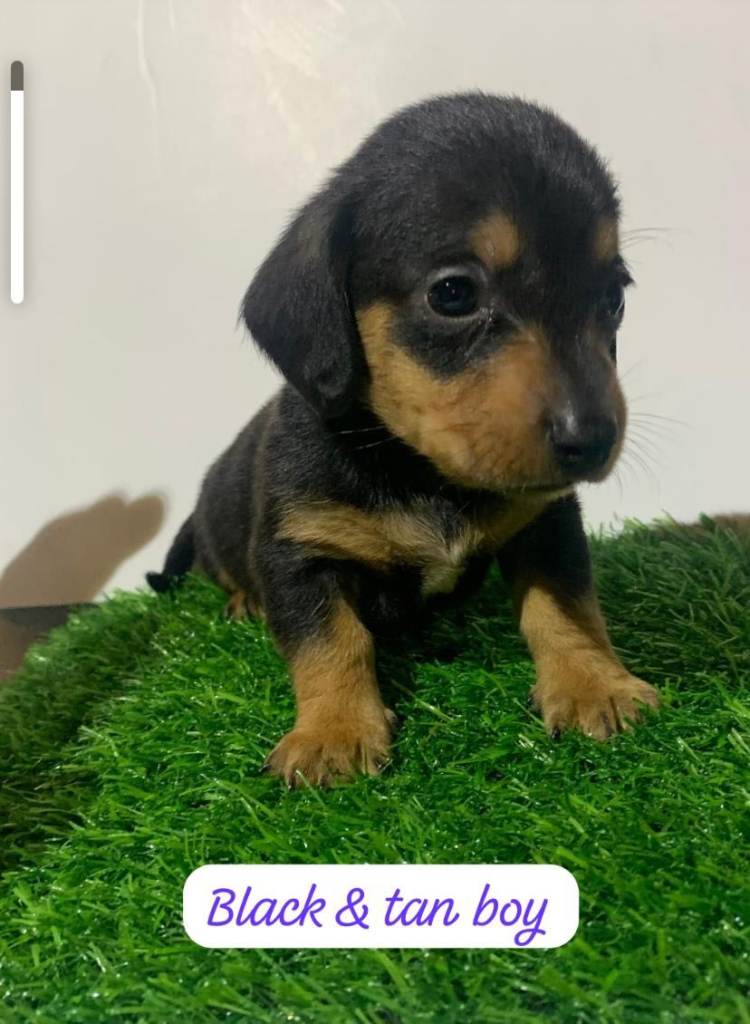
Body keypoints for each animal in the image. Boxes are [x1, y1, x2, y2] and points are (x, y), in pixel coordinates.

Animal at [148, 92, 659, 786]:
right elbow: (331, 641)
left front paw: (593, 685)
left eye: (613, 299)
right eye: (454, 293)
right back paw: (243, 604)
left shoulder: (545, 521)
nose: (594, 439)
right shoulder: (299, 553)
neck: (418, 469)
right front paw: (333, 733)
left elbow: (567, 606)